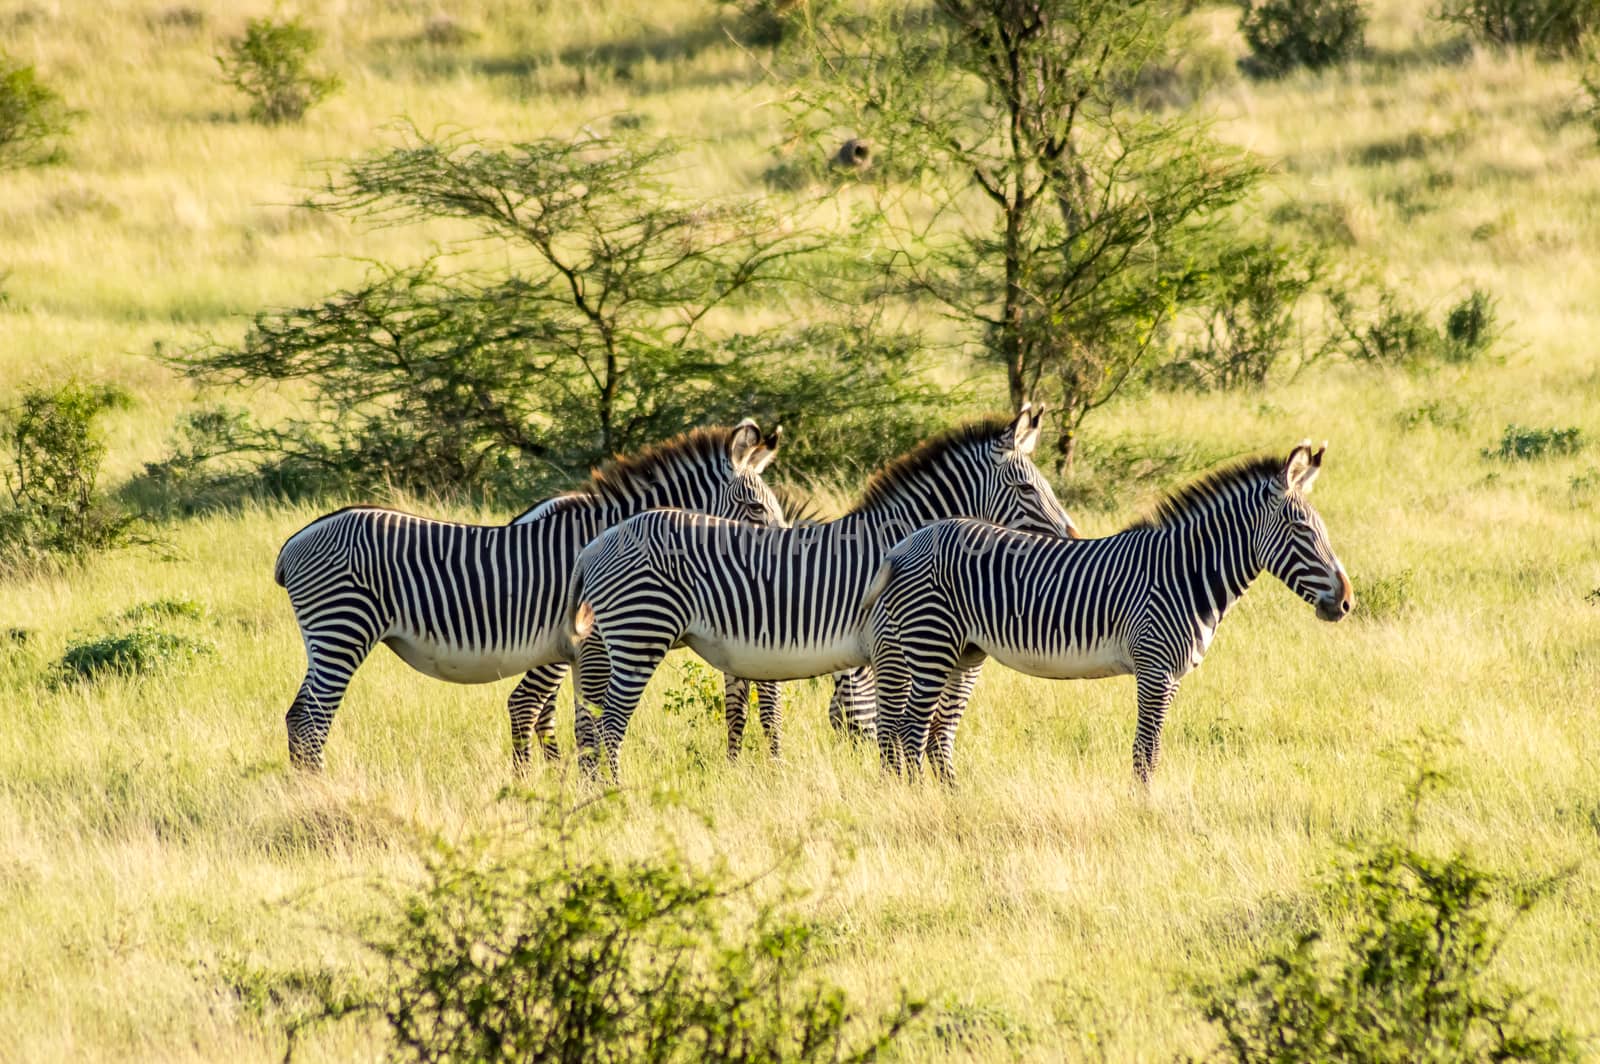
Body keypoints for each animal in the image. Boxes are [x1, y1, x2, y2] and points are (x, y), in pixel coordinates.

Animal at [276, 416, 787, 771]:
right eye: (755, 508)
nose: (783, 558)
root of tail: (294, 543)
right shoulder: (589, 644)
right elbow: (576, 720)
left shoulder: (576, 651)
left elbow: (576, 722)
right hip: (343, 629)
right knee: (311, 719)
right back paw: (317, 792)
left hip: (328, 637)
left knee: (298, 715)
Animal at [560, 406, 1075, 780]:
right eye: (1026, 488)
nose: (1071, 538)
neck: (901, 539)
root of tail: (591, 545)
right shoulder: (889, 646)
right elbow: (892, 725)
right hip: (640, 634)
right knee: (608, 726)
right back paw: (615, 793)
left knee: (591, 722)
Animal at [864, 438, 1350, 780]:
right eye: (1302, 530)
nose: (1346, 601)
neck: (1186, 573)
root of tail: (906, 542)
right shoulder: (1155, 669)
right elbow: (1145, 754)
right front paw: (1145, 815)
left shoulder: (1170, 676)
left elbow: (1150, 753)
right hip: (931, 643)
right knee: (909, 729)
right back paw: (920, 802)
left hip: (962, 651)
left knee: (928, 732)